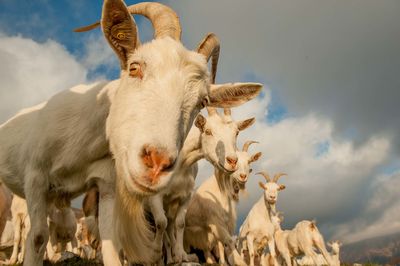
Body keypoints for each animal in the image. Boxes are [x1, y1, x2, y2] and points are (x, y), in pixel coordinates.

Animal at [0, 1, 262, 264]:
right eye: (134, 68)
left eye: (203, 100)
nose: (157, 163)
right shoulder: (36, 177)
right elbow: (37, 237)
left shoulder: (106, 184)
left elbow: (116, 242)